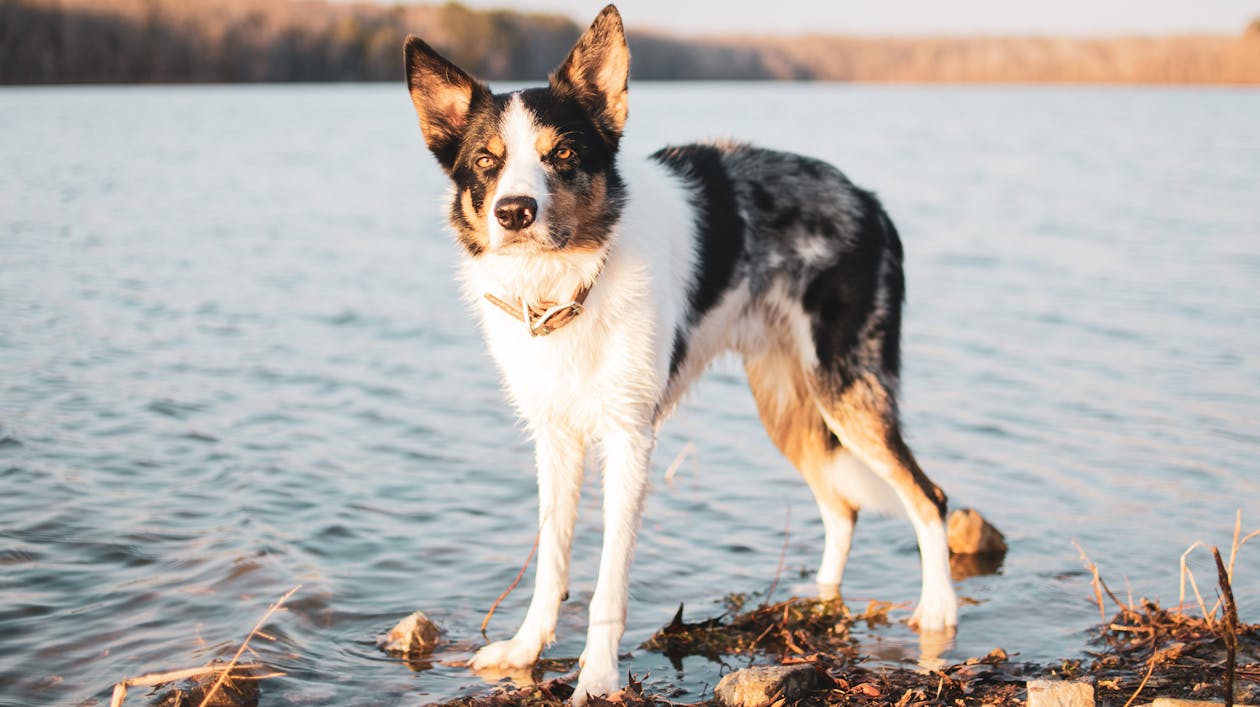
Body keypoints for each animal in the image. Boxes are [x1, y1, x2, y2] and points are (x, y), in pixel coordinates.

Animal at [403, 5, 952, 700]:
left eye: (564, 154)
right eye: (484, 161)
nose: (515, 212)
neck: (567, 286)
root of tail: (869, 201)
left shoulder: (629, 440)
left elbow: (608, 583)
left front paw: (597, 678)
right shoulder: (555, 440)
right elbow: (552, 562)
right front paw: (527, 650)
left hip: (847, 391)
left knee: (927, 496)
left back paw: (939, 613)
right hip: (788, 404)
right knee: (841, 506)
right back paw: (820, 605)